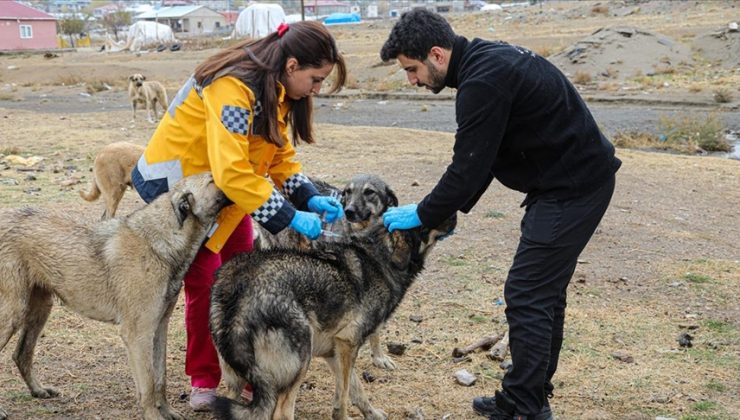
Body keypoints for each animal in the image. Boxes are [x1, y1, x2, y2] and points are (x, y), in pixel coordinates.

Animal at [0, 173, 230, 420]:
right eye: (212, 179)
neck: (158, 242)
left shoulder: (159, 328)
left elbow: (160, 378)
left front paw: (167, 412)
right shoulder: (137, 334)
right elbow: (148, 384)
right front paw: (154, 415)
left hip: (40, 310)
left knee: (21, 354)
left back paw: (38, 390)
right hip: (13, 314)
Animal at [205, 215, 454, 418]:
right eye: (425, 216)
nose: (455, 216)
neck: (381, 260)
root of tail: (240, 291)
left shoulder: (335, 350)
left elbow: (356, 389)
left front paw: (372, 413)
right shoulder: (348, 343)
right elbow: (342, 399)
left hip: (237, 383)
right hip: (298, 366)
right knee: (282, 413)